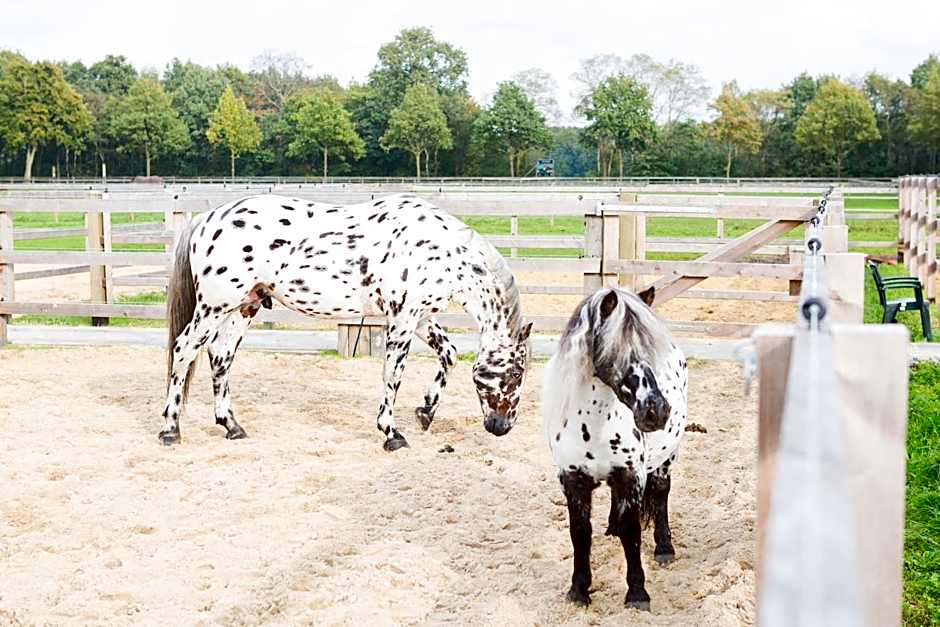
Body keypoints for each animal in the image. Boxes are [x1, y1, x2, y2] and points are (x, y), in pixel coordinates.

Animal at [159, 193, 532, 451]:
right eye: (516, 373)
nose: (501, 426)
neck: (442, 251)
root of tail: (207, 219)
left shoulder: (421, 315)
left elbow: (449, 354)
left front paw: (425, 412)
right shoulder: (403, 317)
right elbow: (392, 374)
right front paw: (392, 433)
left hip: (243, 306)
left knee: (221, 358)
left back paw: (231, 426)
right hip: (214, 306)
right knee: (184, 350)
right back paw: (171, 429)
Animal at [541, 286, 688, 610]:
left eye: (649, 352)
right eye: (617, 350)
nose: (656, 410)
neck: (593, 426)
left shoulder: (632, 476)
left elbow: (631, 532)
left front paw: (637, 593)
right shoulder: (573, 480)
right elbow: (580, 533)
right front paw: (578, 590)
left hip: (667, 457)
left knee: (661, 492)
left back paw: (664, 548)